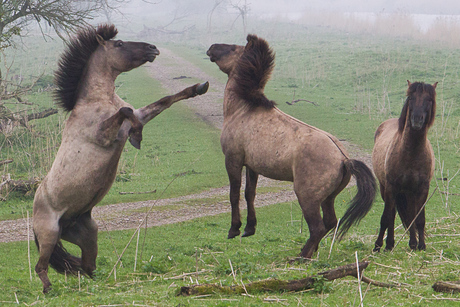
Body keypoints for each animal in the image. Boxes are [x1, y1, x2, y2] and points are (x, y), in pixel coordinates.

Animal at [33, 24, 209, 294]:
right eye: (119, 44)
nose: (153, 48)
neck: (98, 100)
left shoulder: (139, 114)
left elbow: (162, 101)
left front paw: (199, 88)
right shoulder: (103, 135)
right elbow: (126, 112)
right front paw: (137, 137)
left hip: (88, 235)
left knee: (87, 266)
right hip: (49, 235)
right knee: (41, 267)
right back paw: (49, 291)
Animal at [207, 34, 376, 260]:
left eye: (234, 48)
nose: (211, 47)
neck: (244, 109)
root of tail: (344, 159)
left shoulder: (233, 160)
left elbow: (234, 194)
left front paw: (234, 229)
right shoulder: (252, 166)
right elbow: (249, 194)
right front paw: (249, 228)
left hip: (307, 198)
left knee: (318, 227)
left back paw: (302, 255)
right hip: (328, 198)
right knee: (330, 222)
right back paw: (310, 252)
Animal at [372, 82, 436, 253]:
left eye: (429, 99)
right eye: (411, 98)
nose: (416, 120)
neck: (411, 153)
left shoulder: (422, 189)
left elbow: (419, 218)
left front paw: (421, 246)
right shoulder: (391, 187)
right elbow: (386, 217)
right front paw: (378, 246)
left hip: (409, 192)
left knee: (410, 214)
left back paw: (412, 243)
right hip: (387, 189)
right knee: (392, 214)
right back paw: (389, 244)